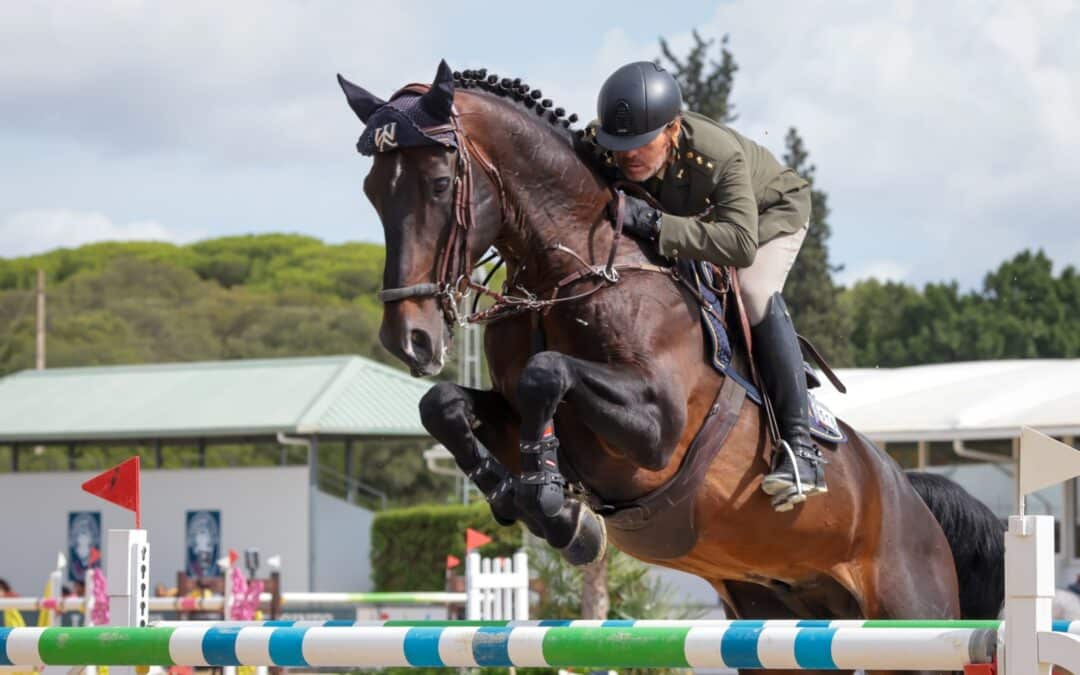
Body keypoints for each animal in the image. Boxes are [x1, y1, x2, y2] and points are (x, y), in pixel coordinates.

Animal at [336, 61, 1002, 648]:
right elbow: (444, 403)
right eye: (371, 192)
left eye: (440, 184)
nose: (408, 338)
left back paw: (800, 462)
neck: (574, 269)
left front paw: (553, 504)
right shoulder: (517, 410)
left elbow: (545, 374)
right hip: (773, 605)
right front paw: (528, 502)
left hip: (911, 607)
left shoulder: (657, 427)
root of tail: (910, 494)